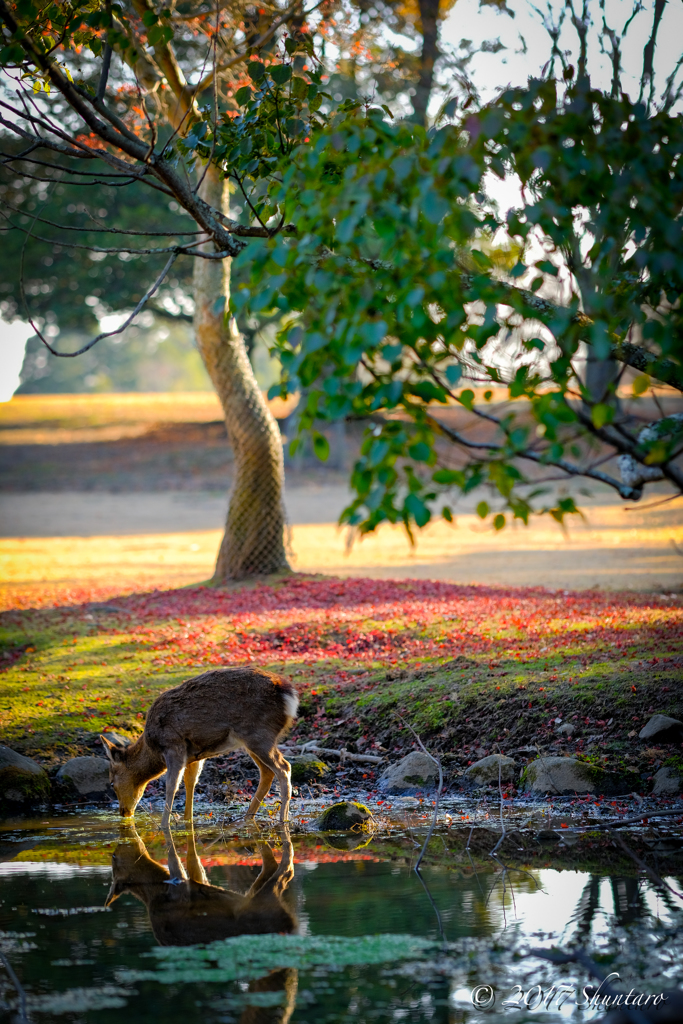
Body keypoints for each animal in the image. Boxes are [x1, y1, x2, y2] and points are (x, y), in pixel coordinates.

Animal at [100, 667, 296, 827]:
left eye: (112, 782)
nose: (124, 812)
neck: (153, 748)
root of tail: (289, 695)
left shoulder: (174, 746)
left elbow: (171, 785)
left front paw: (164, 825)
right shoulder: (194, 756)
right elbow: (190, 782)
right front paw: (187, 819)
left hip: (259, 734)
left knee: (284, 767)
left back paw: (283, 820)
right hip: (251, 741)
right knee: (267, 771)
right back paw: (247, 818)